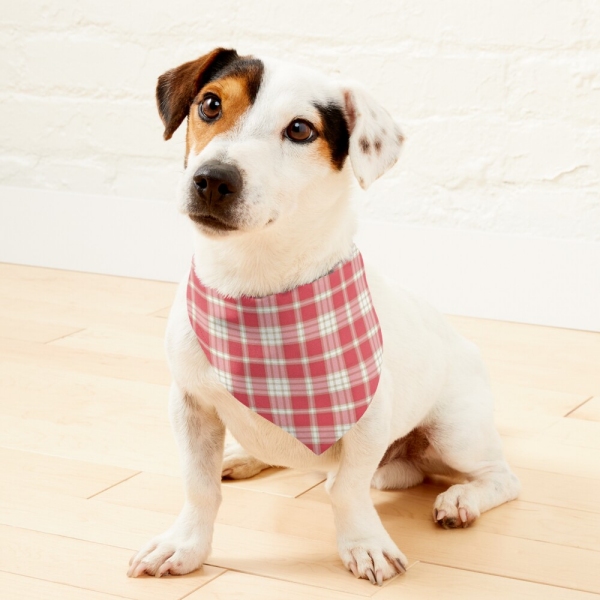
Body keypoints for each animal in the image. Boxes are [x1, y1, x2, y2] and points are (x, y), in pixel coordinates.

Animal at [127, 48, 520, 584]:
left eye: (299, 130)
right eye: (210, 104)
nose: (212, 179)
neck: (255, 284)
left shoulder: (368, 419)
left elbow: (347, 490)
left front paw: (365, 544)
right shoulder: (190, 405)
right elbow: (199, 486)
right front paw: (185, 545)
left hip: (456, 432)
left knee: (500, 477)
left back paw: (461, 499)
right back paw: (244, 456)